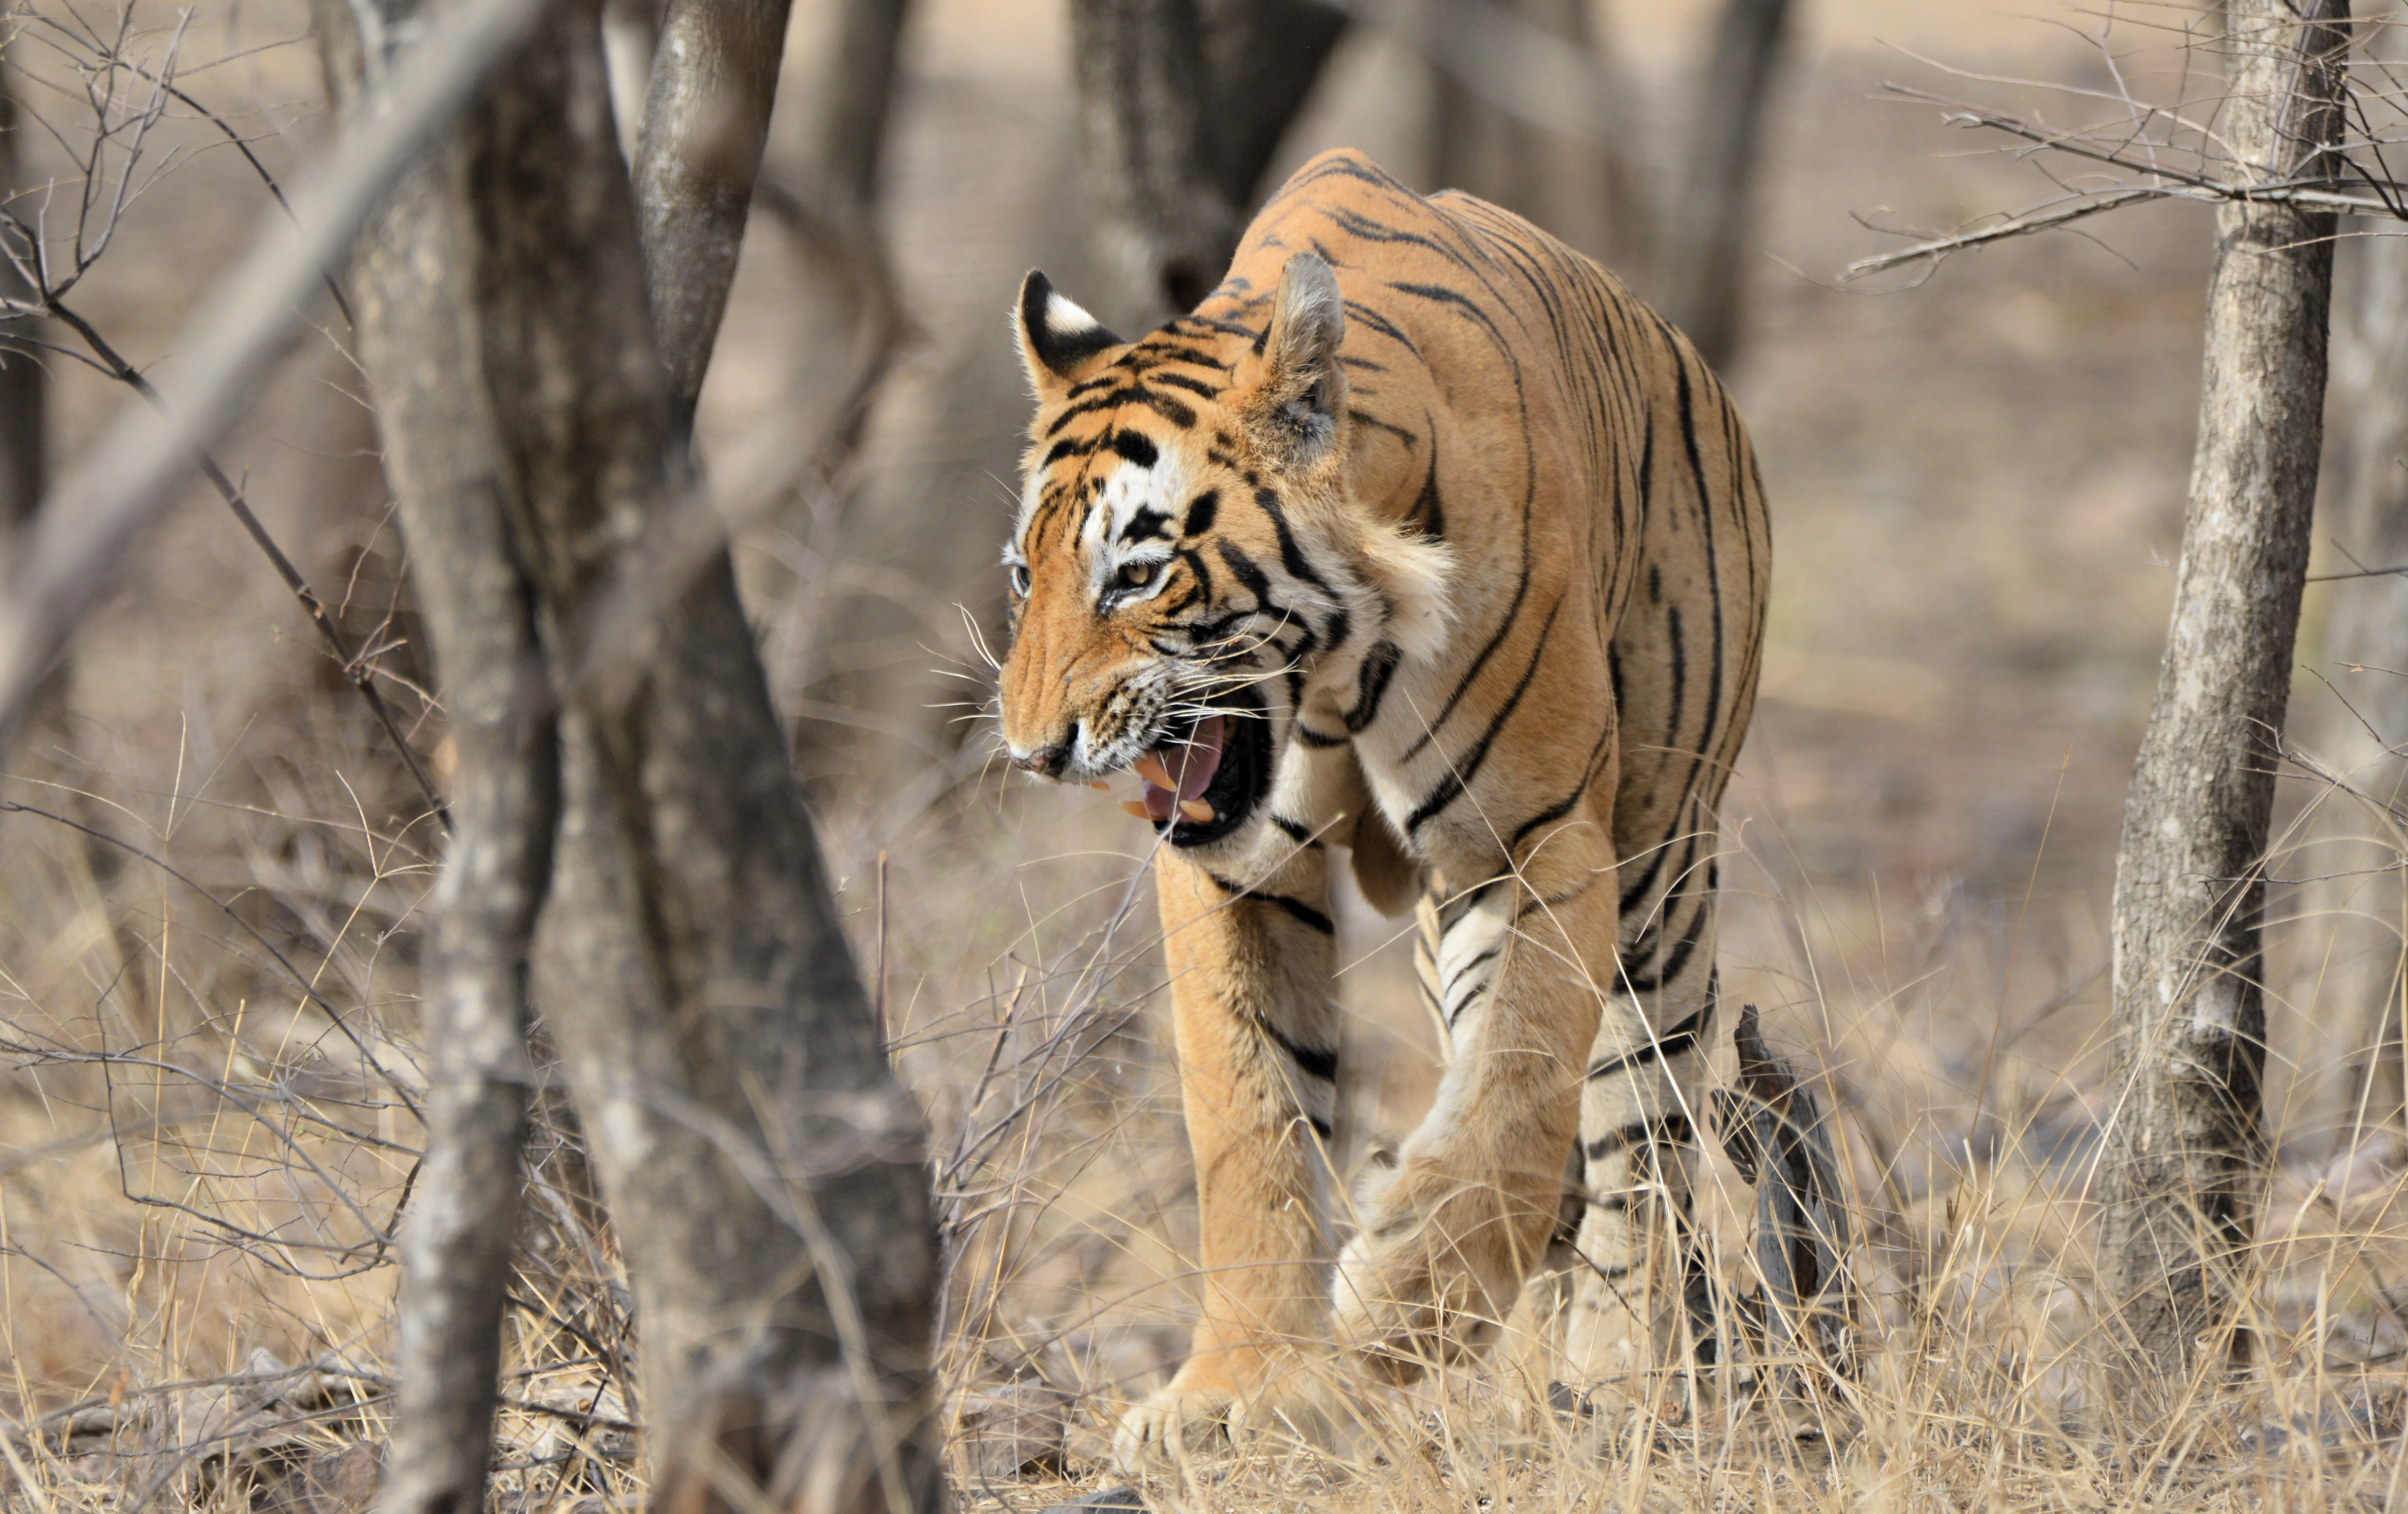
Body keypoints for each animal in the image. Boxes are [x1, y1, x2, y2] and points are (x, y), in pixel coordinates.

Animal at [992, 150, 1772, 1454]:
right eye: (1024, 574)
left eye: (1137, 576)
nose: (1032, 751)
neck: (1335, 675)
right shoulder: (1232, 870)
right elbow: (1247, 1121)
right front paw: (1234, 1393)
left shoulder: (1536, 839)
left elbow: (1519, 1084)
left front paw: (1404, 1307)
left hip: (1663, 870)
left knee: (1634, 1146)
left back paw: (1613, 1383)